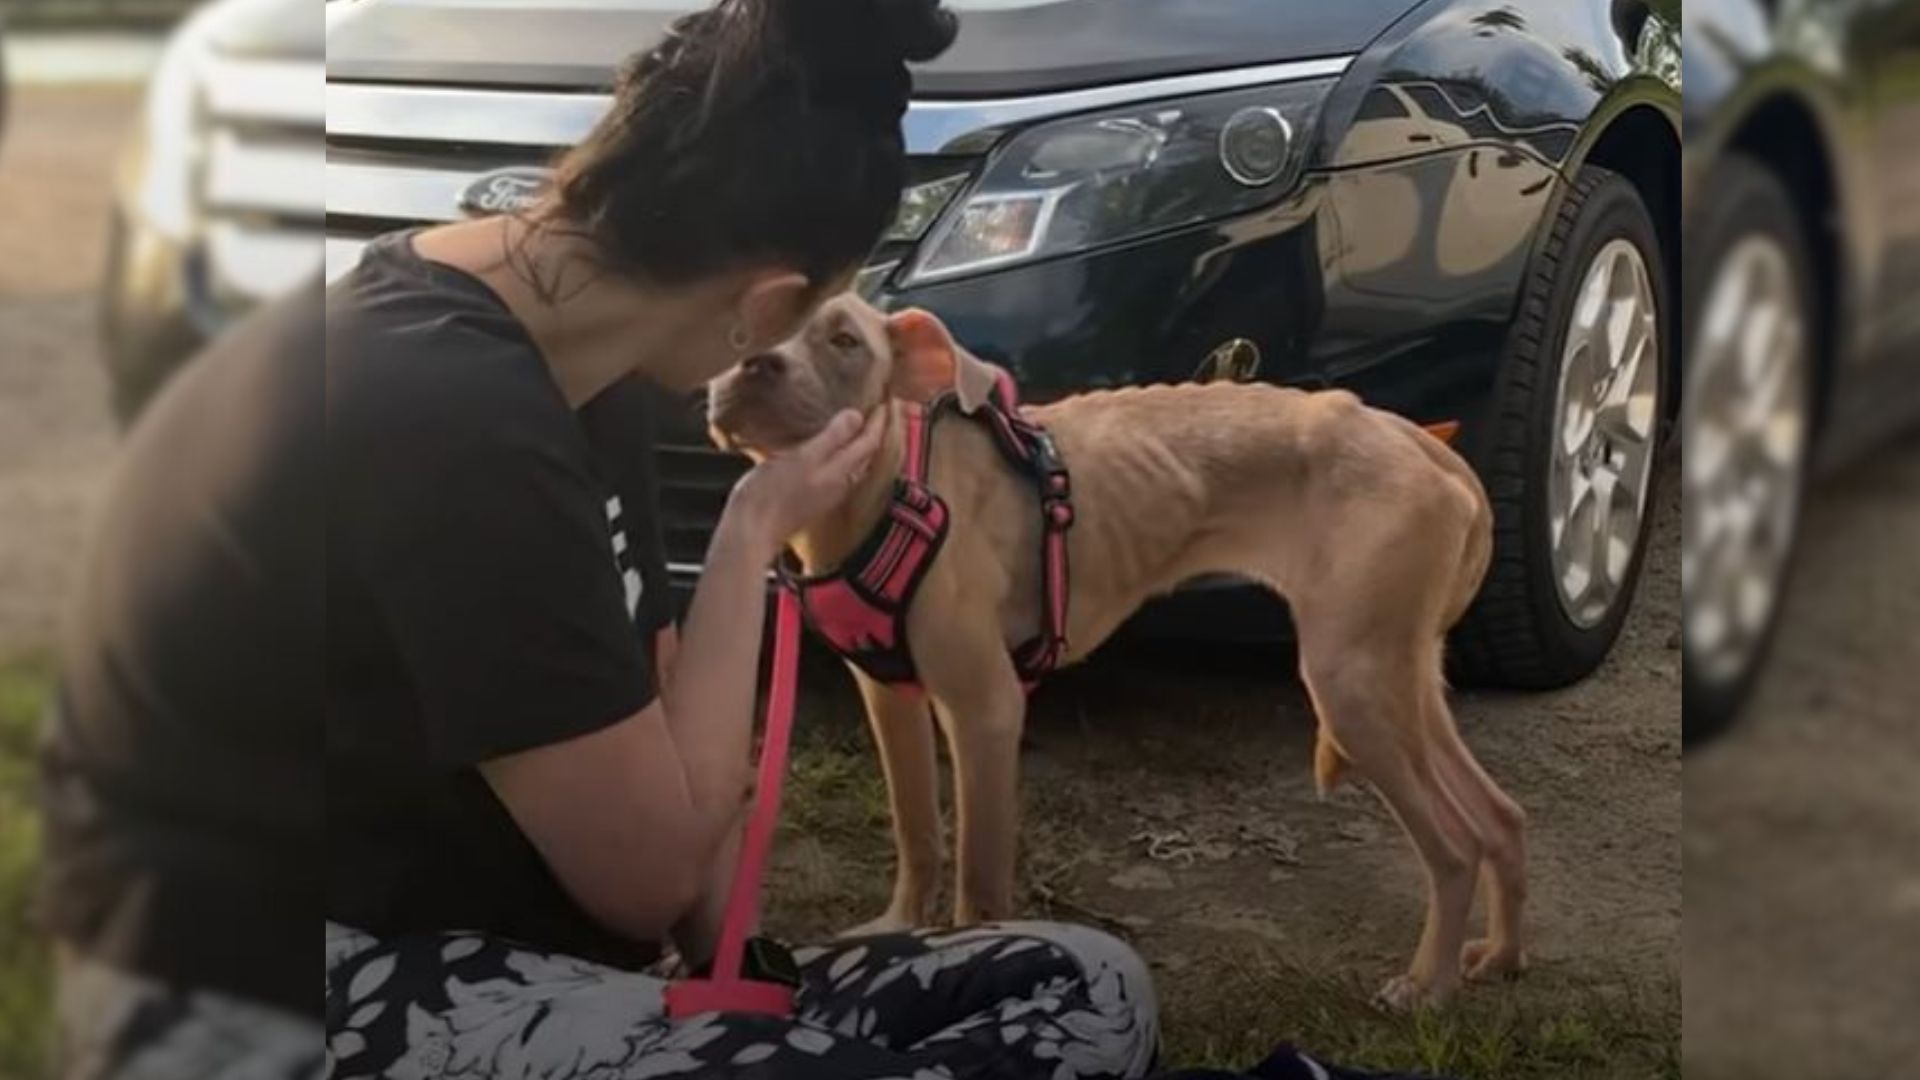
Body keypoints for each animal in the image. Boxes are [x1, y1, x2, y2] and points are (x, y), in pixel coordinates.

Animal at [710, 292, 1528, 999]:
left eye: (845, 341)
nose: (751, 364)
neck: (887, 491)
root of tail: (1421, 442)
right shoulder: (890, 698)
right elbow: (918, 834)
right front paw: (897, 931)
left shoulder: (985, 709)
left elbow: (980, 878)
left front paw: (974, 959)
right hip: (1398, 675)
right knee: (1499, 816)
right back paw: (1499, 957)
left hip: (1352, 683)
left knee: (1454, 848)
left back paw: (1429, 986)